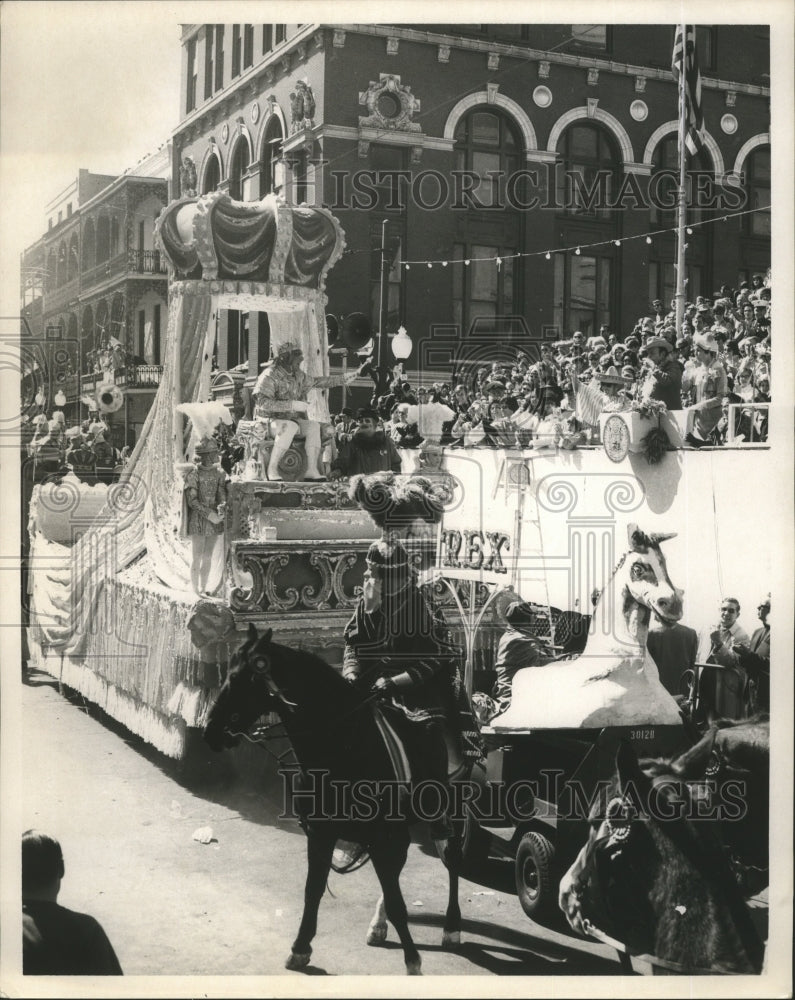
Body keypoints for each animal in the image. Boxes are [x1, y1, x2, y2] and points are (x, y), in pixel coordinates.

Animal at [204, 624, 466, 976]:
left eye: (241, 679)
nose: (210, 731)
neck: (342, 747)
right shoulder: (321, 833)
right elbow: (313, 890)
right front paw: (300, 947)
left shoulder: (378, 835)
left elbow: (397, 900)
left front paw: (412, 961)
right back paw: (379, 925)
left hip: (449, 813)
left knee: (451, 859)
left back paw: (451, 927)